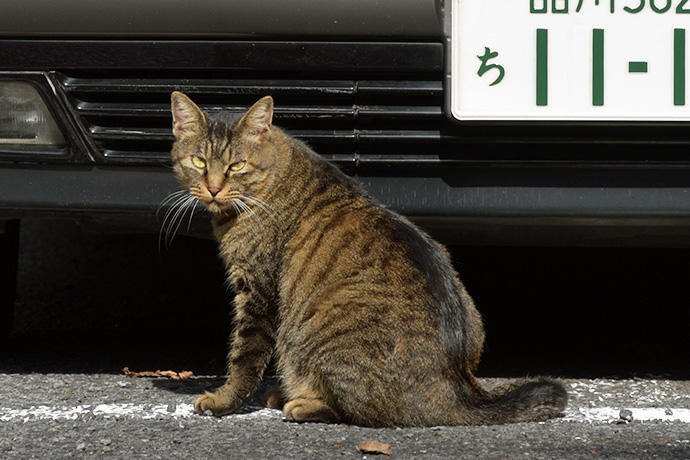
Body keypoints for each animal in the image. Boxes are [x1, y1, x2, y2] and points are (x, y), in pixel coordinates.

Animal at [167, 92, 564, 428]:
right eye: (199, 161)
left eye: (236, 166)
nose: (214, 187)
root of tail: (457, 389)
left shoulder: (257, 294)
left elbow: (244, 358)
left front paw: (223, 401)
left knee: (364, 413)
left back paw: (300, 402)